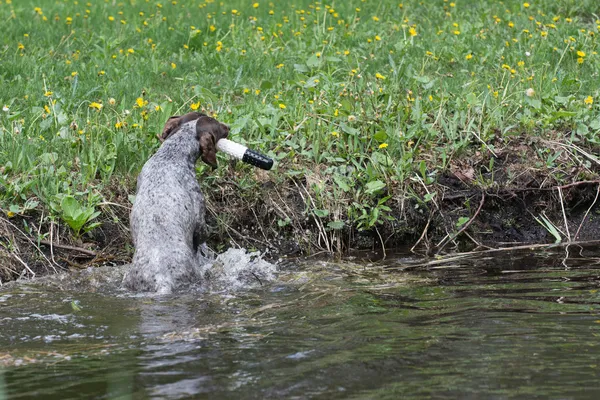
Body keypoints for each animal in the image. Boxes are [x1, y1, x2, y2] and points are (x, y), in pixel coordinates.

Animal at [123, 112, 230, 294]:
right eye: (219, 127)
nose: (228, 126)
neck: (172, 154)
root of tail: (162, 279)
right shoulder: (199, 214)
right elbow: (201, 234)